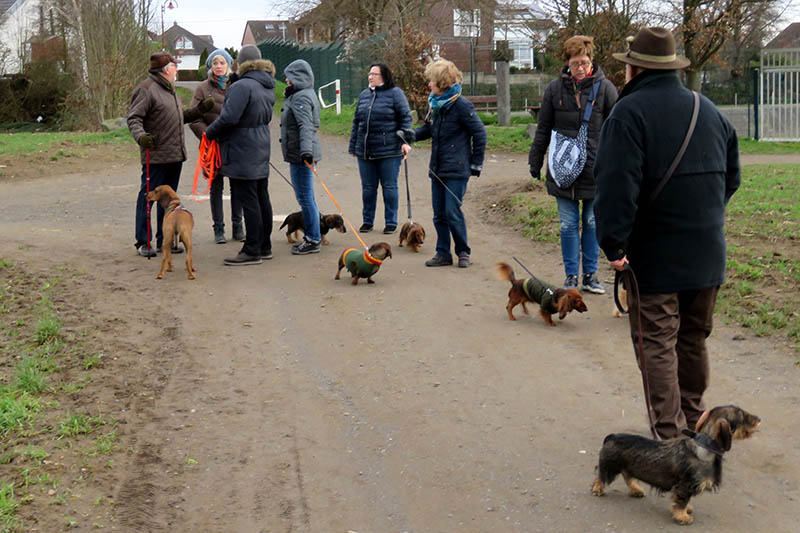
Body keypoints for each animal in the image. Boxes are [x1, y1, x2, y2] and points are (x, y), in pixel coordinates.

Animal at [592, 404, 760, 524]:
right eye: (742, 415)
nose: (759, 419)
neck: (704, 447)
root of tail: (613, 436)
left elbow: (684, 502)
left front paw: (686, 510)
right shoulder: (686, 485)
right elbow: (681, 502)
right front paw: (682, 516)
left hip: (629, 467)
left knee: (628, 477)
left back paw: (636, 490)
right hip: (609, 466)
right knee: (600, 476)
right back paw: (597, 489)